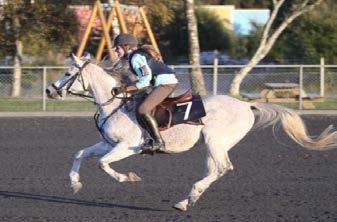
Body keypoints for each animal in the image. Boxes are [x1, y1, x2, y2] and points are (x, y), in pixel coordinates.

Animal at [45, 54, 336, 211]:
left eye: (68, 72)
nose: (49, 90)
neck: (115, 103)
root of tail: (246, 105)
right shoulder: (108, 144)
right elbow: (80, 154)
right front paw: (75, 184)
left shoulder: (127, 147)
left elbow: (104, 165)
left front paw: (128, 177)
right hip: (212, 145)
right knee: (214, 170)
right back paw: (187, 200)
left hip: (215, 141)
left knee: (223, 168)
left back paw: (189, 197)